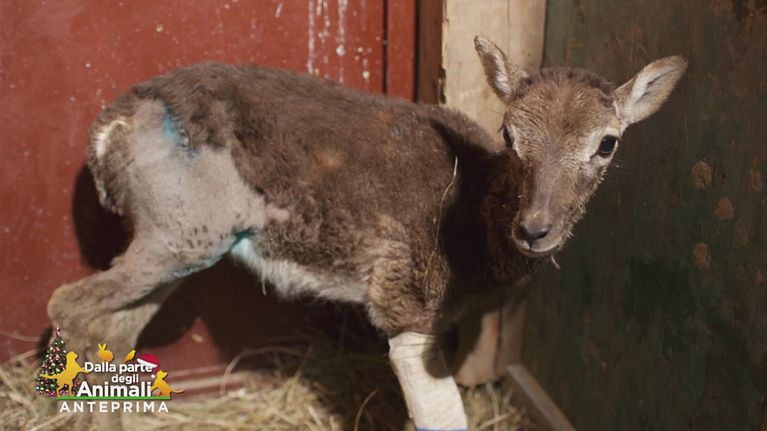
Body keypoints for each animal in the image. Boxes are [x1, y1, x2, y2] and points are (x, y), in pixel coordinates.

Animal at [48, 36, 686, 429]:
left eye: (608, 142)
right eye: (510, 133)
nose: (536, 229)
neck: (477, 216)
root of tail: (107, 133)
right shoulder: (404, 306)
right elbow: (443, 418)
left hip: (180, 247)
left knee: (115, 329)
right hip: (175, 237)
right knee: (67, 304)